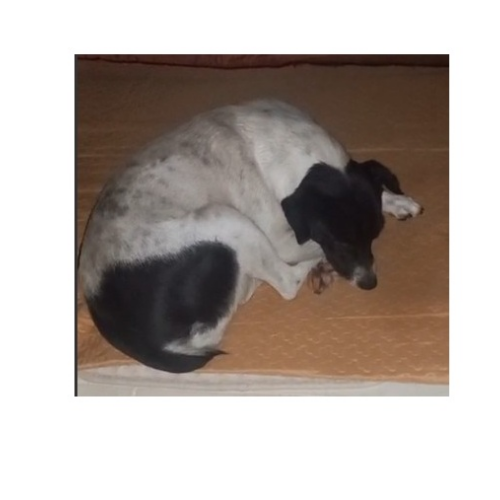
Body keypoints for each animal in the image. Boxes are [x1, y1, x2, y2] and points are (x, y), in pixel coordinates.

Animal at [78, 99, 422, 373]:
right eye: (340, 241)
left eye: (375, 235)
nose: (369, 283)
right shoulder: (282, 239)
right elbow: (311, 247)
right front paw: (325, 262)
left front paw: (397, 200)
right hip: (226, 219)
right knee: (286, 283)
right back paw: (314, 271)